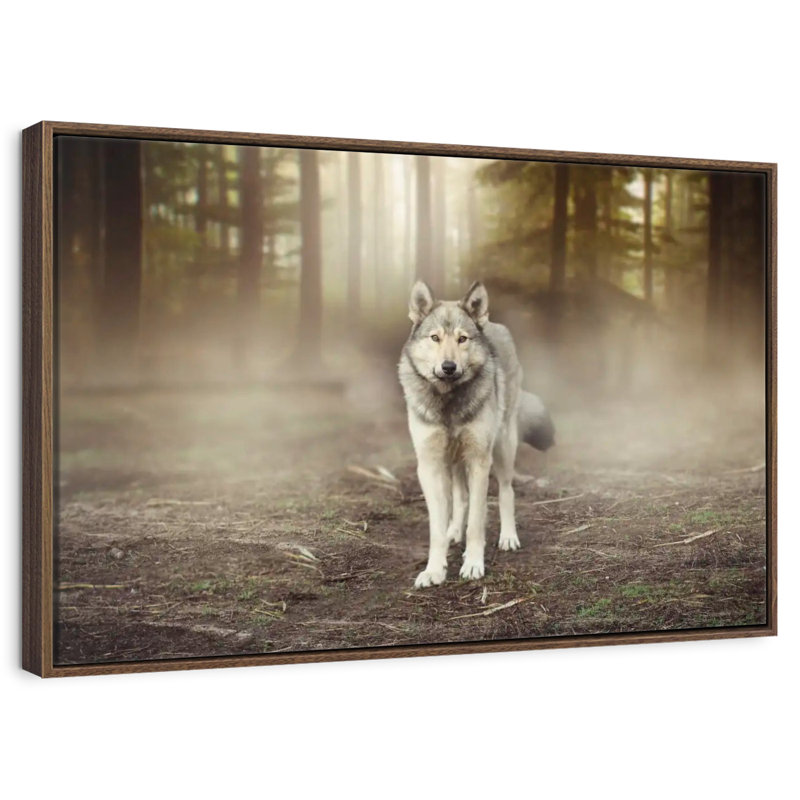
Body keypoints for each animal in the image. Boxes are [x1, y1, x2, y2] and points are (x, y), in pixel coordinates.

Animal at [398, 281, 554, 587]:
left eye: (462, 339)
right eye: (435, 338)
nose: (448, 367)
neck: (449, 402)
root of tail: (493, 323)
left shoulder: (479, 461)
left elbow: (477, 522)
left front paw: (472, 564)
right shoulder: (430, 466)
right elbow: (437, 528)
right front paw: (434, 570)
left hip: (502, 448)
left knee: (506, 491)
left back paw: (508, 537)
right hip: (454, 460)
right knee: (460, 498)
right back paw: (453, 532)